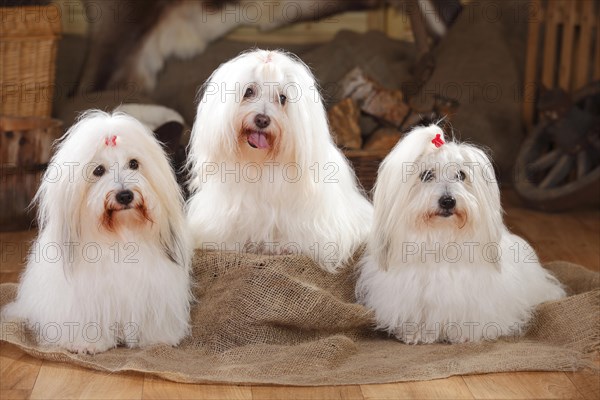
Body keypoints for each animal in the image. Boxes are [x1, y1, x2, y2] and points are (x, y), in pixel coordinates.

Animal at [0, 111, 192, 354]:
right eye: (98, 170)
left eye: (134, 164)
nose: (125, 195)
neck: (121, 235)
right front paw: (87, 343)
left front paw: (157, 339)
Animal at [356, 126, 568, 344]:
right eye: (426, 175)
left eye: (460, 174)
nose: (448, 201)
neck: (442, 237)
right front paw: (415, 333)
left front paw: (464, 334)